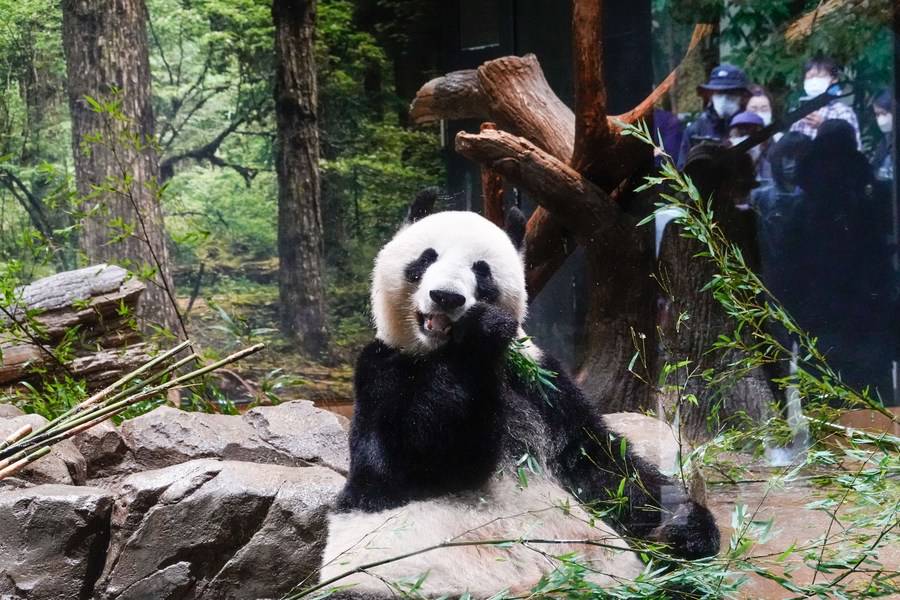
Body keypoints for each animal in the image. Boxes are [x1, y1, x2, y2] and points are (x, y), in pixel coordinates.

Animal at [318, 190, 720, 598]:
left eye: (481, 270)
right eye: (427, 257)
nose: (446, 297)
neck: (437, 351)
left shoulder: (543, 384)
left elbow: (602, 466)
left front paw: (688, 529)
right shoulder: (381, 369)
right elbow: (410, 461)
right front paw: (479, 333)